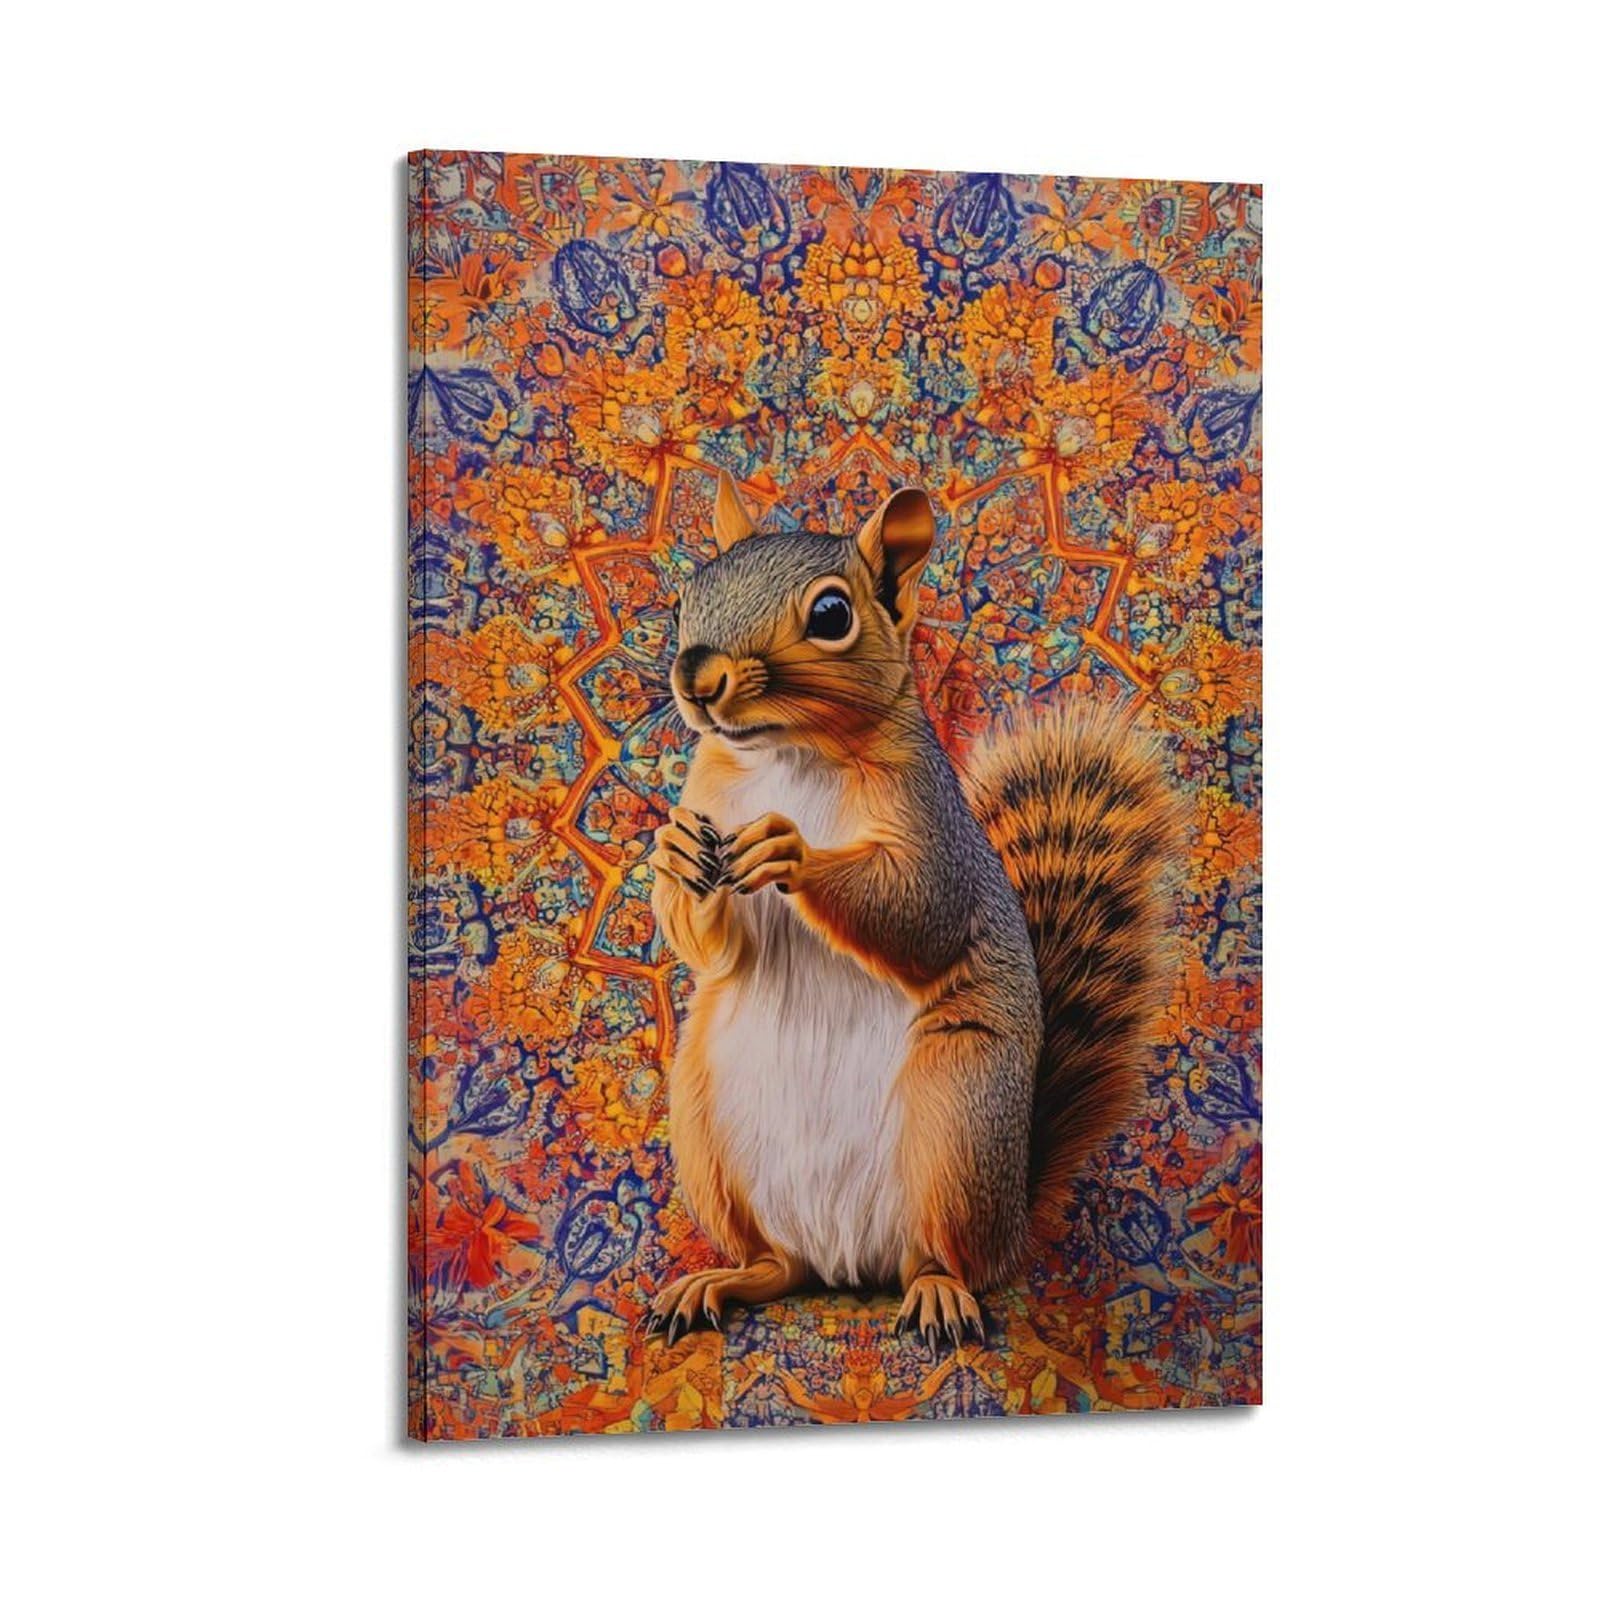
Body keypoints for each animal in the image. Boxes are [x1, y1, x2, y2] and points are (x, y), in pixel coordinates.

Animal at [645, 473, 1182, 1349]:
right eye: (685, 595)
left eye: (832, 614)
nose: (696, 676)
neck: (787, 753)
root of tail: (847, 1266)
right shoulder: (710, 797)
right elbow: (710, 949)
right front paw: (671, 855)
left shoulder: (932, 826)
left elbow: (919, 912)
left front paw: (789, 850)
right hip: (703, 1132)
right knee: (776, 1264)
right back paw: (722, 1281)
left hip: (957, 1116)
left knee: (944, 1255)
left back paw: (937, 1293)